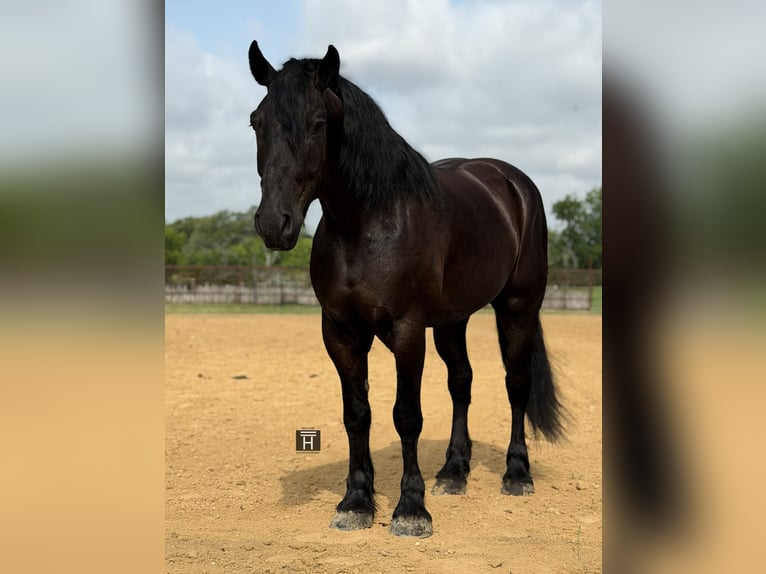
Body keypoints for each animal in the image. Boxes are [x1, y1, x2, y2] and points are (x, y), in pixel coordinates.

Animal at [247, 41, 563, 538]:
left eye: (318, 124)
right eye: (257, 122)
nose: (274, 224)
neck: (366, 224)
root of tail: (512, 184)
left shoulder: (407, 331)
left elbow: (406, 416)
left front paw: (410, 509)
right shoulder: (340, 333)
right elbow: (357, 414)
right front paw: (356, 501)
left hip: (518, 308)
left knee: (516, 384)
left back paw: (516, 474)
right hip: (453, 321)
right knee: (461, 382)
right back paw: (453, 472)